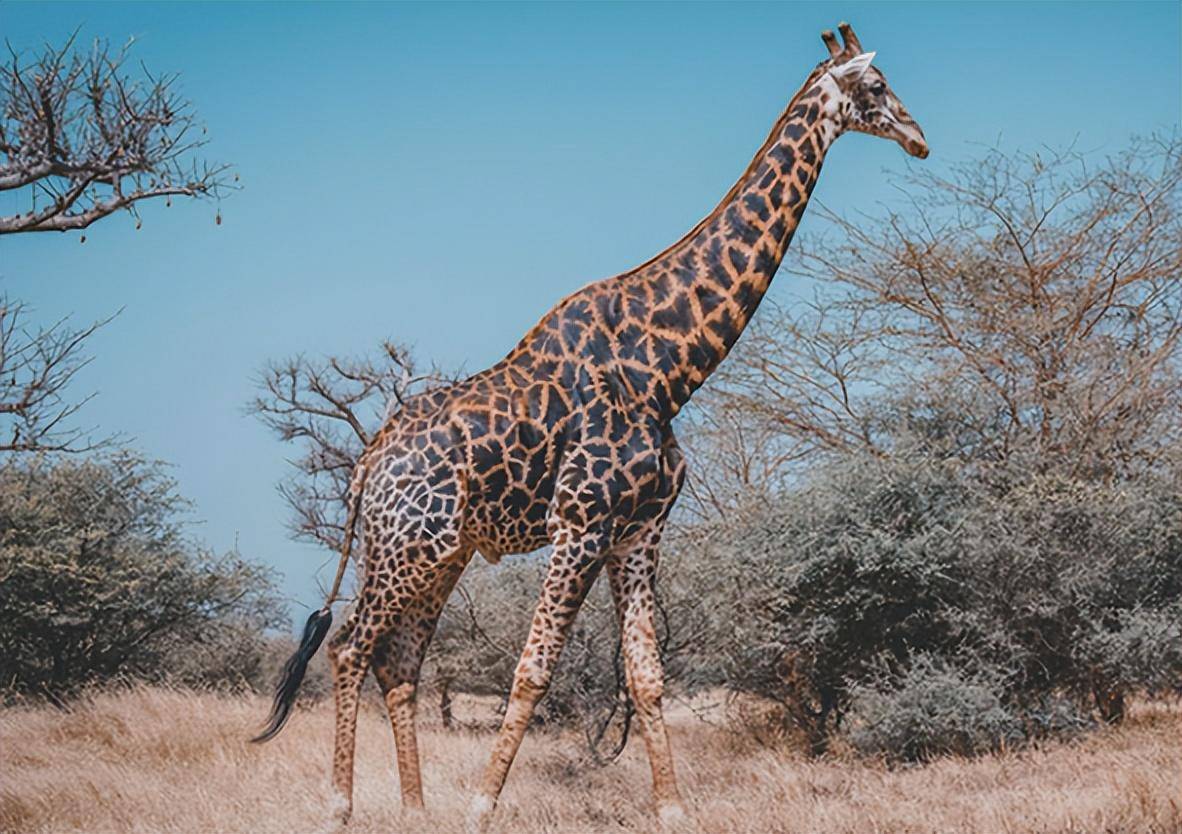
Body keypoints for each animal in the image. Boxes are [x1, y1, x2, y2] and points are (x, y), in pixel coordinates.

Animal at [256, 19, 921, 826]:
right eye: (878, 86)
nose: (919, 139)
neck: (668, 368)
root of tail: (363, 469)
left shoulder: (639, 529)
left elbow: (646, 674)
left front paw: (673, 810)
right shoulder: (580, 523)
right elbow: (533, 672)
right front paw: (480, 809)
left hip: (439, 555)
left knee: (399, 661)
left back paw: (415, 809)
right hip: (406, 548)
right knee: (350, 647)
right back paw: (340, 806)